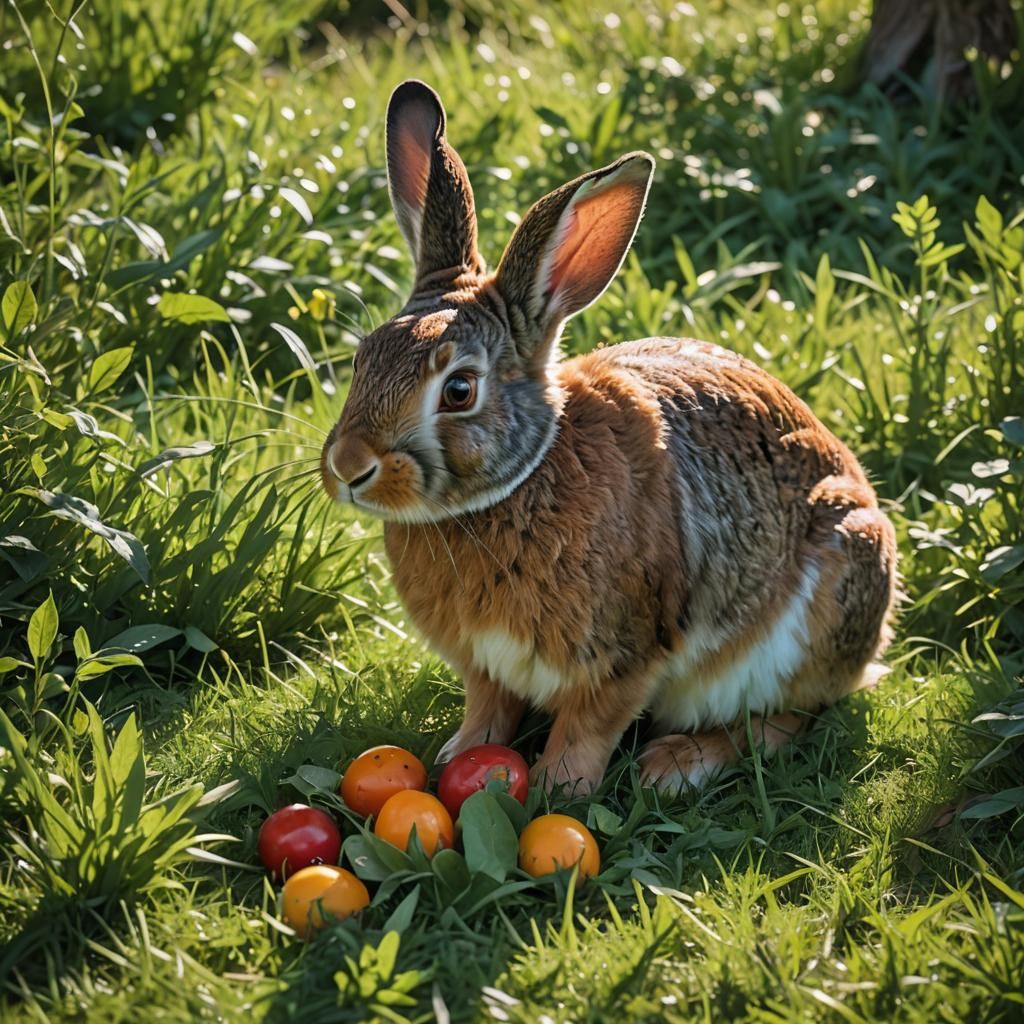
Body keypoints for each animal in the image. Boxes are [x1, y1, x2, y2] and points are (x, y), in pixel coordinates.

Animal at [321, 79, 898, 795]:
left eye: (458, 391)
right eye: (363, 357)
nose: (348, 466)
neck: (517, 484)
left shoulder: (623, 656)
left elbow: (587, 731)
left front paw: (555, 792)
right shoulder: (485, 664)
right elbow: (489, 710)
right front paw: (460, 758)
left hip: (828, 592)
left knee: (790, 717)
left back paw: (677, 764)